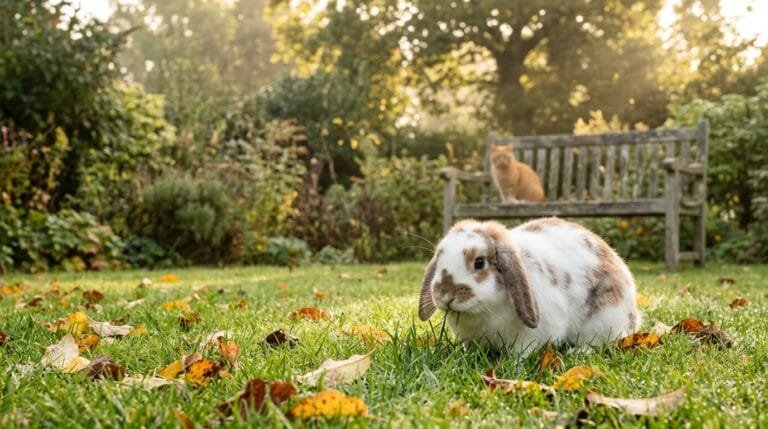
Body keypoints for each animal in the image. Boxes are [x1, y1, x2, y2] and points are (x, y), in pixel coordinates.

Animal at [418, 217, 640, 355]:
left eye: (479, 262)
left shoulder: (531, 337)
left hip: (604, 320)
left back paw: (577, 352)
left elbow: (522, 352)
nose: (445, 295)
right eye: (439, 258)